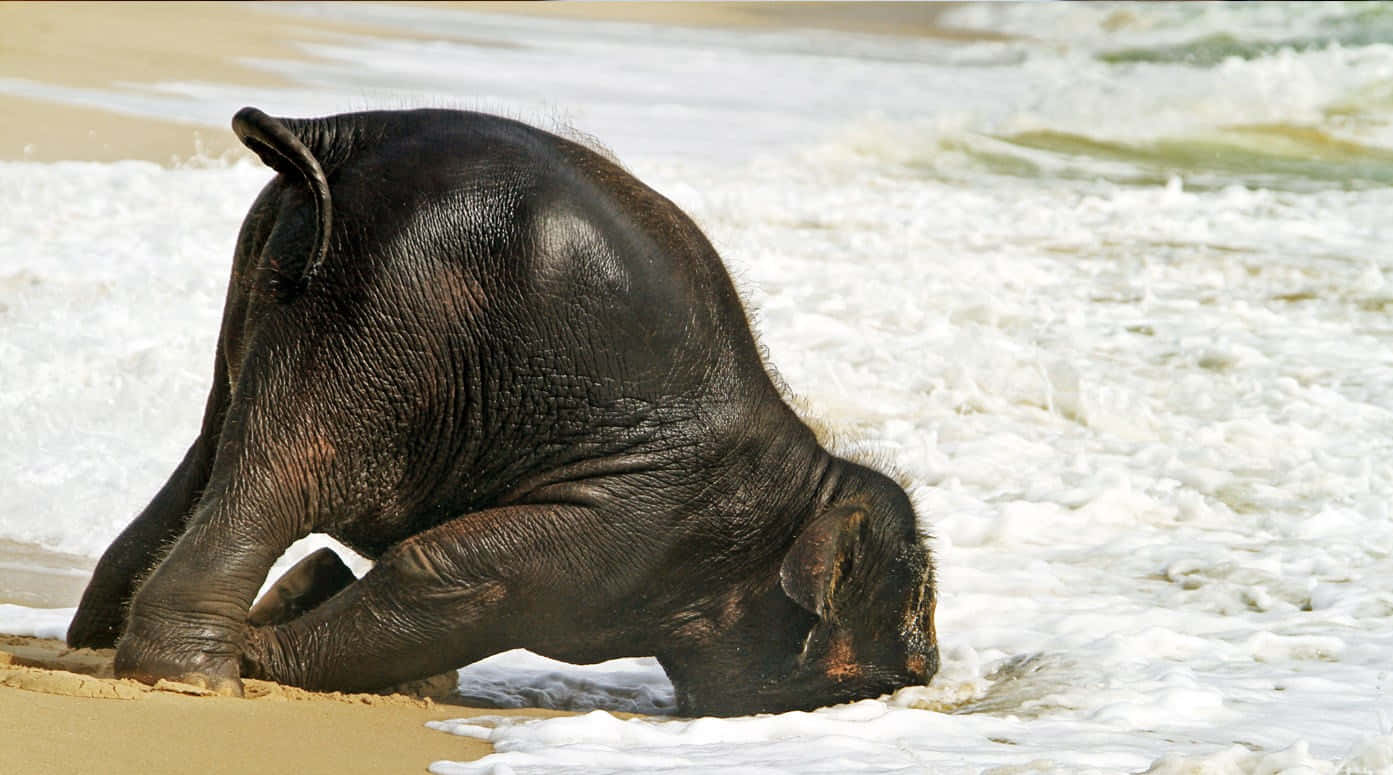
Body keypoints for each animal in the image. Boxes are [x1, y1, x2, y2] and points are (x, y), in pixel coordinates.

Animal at [66, 106, 938, 717]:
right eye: (909, 657)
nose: (927, 670)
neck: (807, 479)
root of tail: (340, 134)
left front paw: (307, 608)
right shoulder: (643, 520)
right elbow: (458, 575)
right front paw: (268, 643)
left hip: (276, 275)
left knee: (212, 450)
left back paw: (100, 645)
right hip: (385, 317)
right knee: (287, 474)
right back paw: (196, 678)